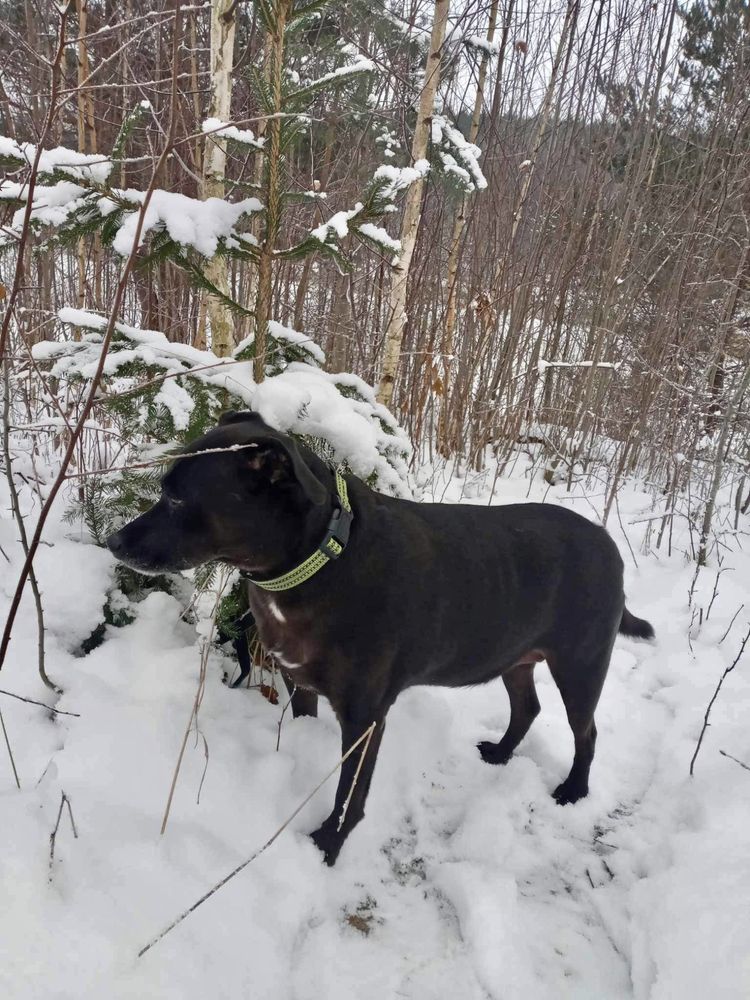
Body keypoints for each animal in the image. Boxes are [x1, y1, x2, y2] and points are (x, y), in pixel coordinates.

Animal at [108, 410, 656, 864]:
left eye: (177, 497)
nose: (113, 541)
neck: (320, 558)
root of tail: (609, 545)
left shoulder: (365, 715)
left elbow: (350, 791)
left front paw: (329, 843)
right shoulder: (301, 682)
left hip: (582, 663)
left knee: (586, 732)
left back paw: (574, 790)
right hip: (514, 656)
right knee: (528, 708)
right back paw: (501, 754)